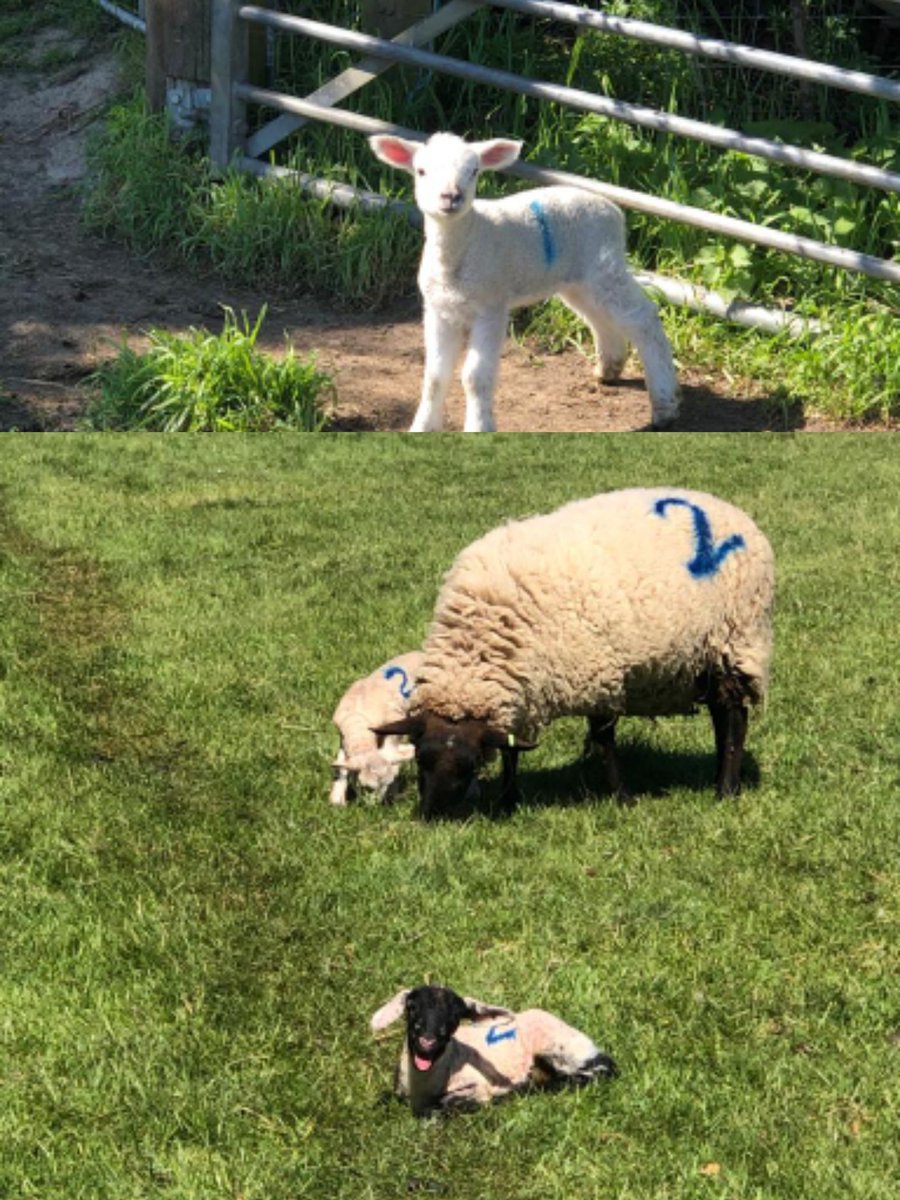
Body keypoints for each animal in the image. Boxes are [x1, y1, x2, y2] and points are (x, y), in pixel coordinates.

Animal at [329, 650, 424, 805]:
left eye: (387, 784)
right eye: (367, 787)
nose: (375, 806)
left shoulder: (394, 719)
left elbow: (391, 752)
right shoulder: (343, 737)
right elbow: (341, 768)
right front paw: (337, 799)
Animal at [368, 131, 680, 432]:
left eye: (474, 170)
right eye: (421, 171)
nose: (451, 196)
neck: (466, 242)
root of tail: (613, 209)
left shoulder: (491, 308)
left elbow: (474, 377)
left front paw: (479, 427)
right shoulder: (438, 309)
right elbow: (434, 376)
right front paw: (422, 427)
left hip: (604, 265)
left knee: (642, 317)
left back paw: (665, 406)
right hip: (578, 279)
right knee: (599, 317)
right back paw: (609, 370)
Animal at [371, 984, 617, 1116]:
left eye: (455, 1017)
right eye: (411, 1008)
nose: (427, 1042)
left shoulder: (477, 1086)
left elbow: (447, 1102)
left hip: (561, 1049)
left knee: (597, 1070)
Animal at [373, 488, 774, 817]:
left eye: (470, 765)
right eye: (420, 759)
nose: (431, 817)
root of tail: (730, 509)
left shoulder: (599, 674)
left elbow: (603, 741)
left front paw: (622, 797)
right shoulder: (522, 688)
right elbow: (512, 748)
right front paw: (508, 801)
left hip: (734, 642)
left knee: (734, 719)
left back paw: (725, 789)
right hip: (709, 657)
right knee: (722, 716)